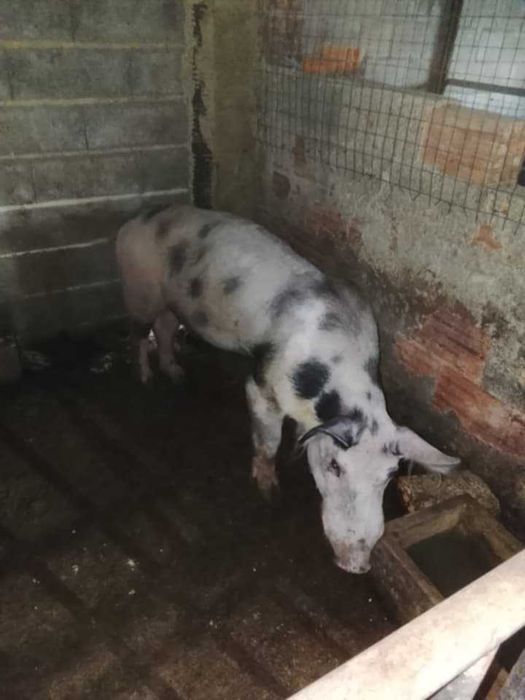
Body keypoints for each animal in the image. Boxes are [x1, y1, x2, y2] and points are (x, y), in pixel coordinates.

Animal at [116, 204, 459, 573]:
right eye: (335, 466)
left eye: (389, 476)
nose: (357, 565)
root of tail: (135, 220)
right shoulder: (260, 385)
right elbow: (268, 441)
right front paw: (270, 493)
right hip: (140, 290)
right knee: (138, 334)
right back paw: (146, 380)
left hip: (168, 301)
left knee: (165, 328)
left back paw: (178, 376)